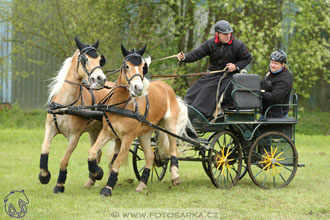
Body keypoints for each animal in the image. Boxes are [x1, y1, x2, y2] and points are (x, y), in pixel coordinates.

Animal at [38, 37, 111, 192]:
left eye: (99, 60)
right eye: (85, 59)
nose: (101, 78)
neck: (66, 104)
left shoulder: (74, 137)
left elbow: (64, 160)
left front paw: (59, 185)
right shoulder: (50, 129)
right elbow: (45, 148)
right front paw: (44, 175)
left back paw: (98, 174)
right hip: (95, 130)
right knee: (97, 152)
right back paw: (91, 180)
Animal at [87, 44, 191, 196]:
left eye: (143, 67)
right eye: (127, 66)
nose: (138, 88)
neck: (121, 106)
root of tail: (165, 86)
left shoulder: (128, 137)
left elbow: (117, 161)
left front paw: (107, 188)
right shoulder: (107, 132)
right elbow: (93, 152)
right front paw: (97, 172)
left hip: (170, 126)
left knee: (172, 149)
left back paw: (175, 176)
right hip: (145, 134)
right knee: (150, 156)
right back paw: (142, 184)